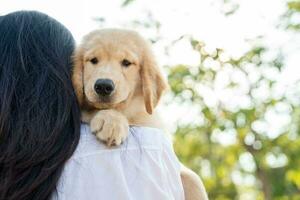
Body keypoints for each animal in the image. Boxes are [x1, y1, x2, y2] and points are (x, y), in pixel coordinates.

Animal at [72, 28, 209, 200]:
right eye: (93, 60)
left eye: (126, 63)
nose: (103, 86)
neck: (129, 112)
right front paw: (112, 122)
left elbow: (193, 179)